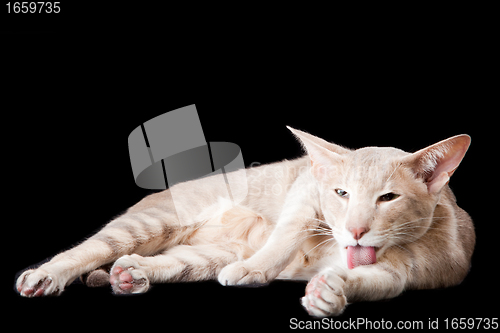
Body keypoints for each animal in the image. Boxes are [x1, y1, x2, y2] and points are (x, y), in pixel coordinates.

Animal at [14, 126, 472, 316]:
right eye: (341, 194)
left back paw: (132, 274)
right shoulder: (305, 190)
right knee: (90, 248)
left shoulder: (405, 274)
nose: (356, 231)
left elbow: (378, 283)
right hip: (149, 224)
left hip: (208, 254)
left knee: (176, 261)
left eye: (387, 198)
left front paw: (329, 292)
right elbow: (287, 234)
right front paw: (258, 269)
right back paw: (46, 275)